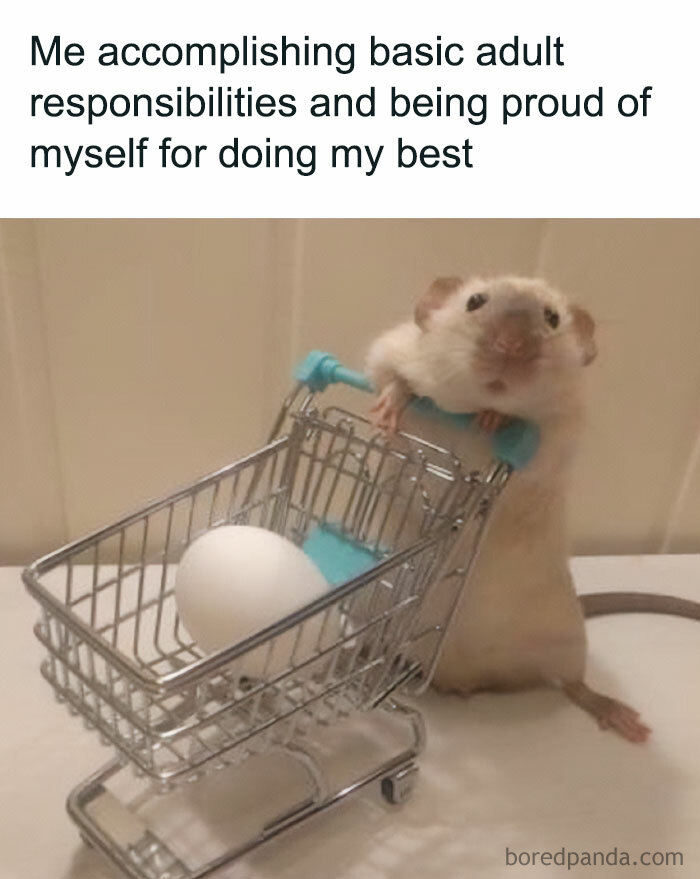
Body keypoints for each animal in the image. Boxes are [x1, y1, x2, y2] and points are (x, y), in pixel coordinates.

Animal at [366, 275, 652, 743]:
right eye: (475, 302)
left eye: (551, 318)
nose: (511, 344)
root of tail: (465, 679)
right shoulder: (394, 347)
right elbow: (387, 375)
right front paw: (389, 405)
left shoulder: (561, 432)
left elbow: (538, 449)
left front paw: (497, 419)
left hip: (568, 641)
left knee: (572, 682)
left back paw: (610, 709)